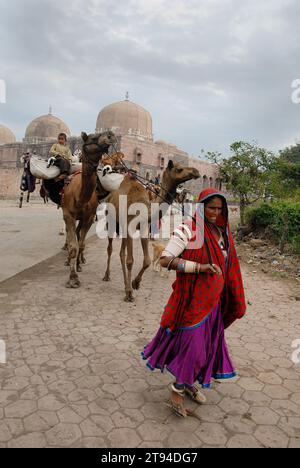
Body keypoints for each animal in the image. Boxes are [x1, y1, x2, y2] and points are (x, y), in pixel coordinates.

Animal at [61, 130, 117, 288]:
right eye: (92, 138)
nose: (111, 134)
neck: (79, 196)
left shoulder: (89, 217)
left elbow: (81, 244)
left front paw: (78, 267)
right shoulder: (68, 214)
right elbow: (73, 247)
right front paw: (73, 278)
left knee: (80, 236)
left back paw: (80, 261)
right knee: (71, 234)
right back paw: (68, 260)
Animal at [102, 159, 199, 302]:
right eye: (179, 169)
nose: (196, 171)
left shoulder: (143, 228)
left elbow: (147, 260)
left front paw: (135, 283)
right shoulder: (130, 227)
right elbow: (130, 261)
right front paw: (130, 292)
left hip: (123, 228)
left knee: (121, 253)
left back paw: (125, 285)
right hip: (111, 220)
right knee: (110, 249)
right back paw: (107, 276)